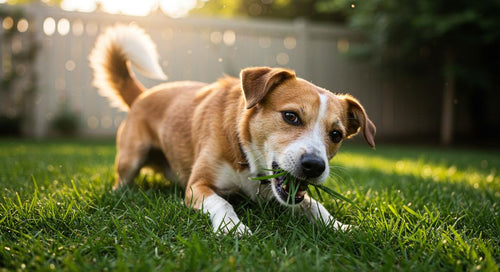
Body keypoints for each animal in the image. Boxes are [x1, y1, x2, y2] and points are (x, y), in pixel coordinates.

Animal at [90, 24, 376, 235]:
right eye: (291, 116)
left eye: (336, 135)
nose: (315, 166)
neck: (246, 154)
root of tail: (143, 94)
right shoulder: (197, 186)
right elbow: (222, 201)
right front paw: (233, 227)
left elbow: (315, 205)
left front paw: (340, 226)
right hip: (131, 158)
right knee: (122, 181)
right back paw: (121, 193)